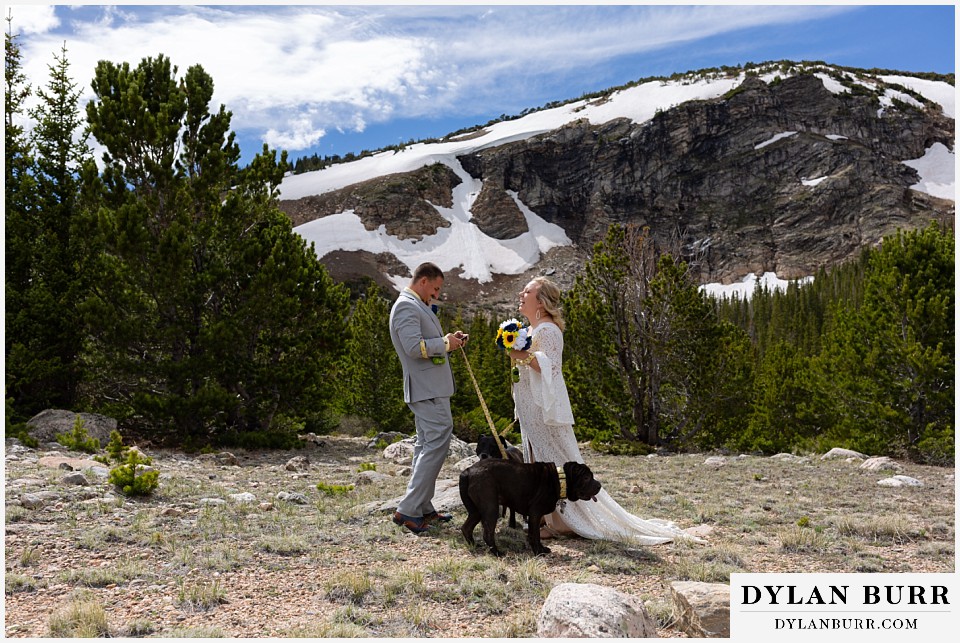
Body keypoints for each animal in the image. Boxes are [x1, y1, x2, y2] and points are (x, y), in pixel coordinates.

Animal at [458, 458, 600, 560]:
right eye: (586, 477)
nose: (599, 485)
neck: (560, 479)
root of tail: (468, 471)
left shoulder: (535, 516)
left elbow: (535, 535)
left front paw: (542, 549)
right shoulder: (535, 514)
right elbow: (535, 535)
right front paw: (538, 552)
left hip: (476, 511)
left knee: (466, 528)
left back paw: (474, 545)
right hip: (491, 509)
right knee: (487, 534)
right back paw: (497, 553)